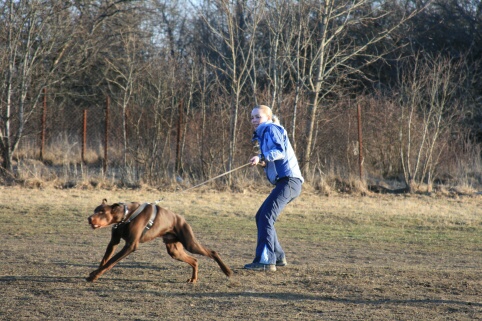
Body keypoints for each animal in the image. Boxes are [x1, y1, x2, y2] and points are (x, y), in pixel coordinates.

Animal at [87, 199, 233, 282]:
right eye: (95, 210)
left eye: (102, 212)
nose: (89, 218)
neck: (126, 216)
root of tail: (181, 219)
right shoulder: (114, 242)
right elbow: (105, 260)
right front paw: (94, 274)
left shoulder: (130, 245)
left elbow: (110, 262)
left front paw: (94, 276)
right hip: (174, 250)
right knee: (195, 260)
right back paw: (193, 279)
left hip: (190, 243)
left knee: (212, 252)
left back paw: (227, 271)